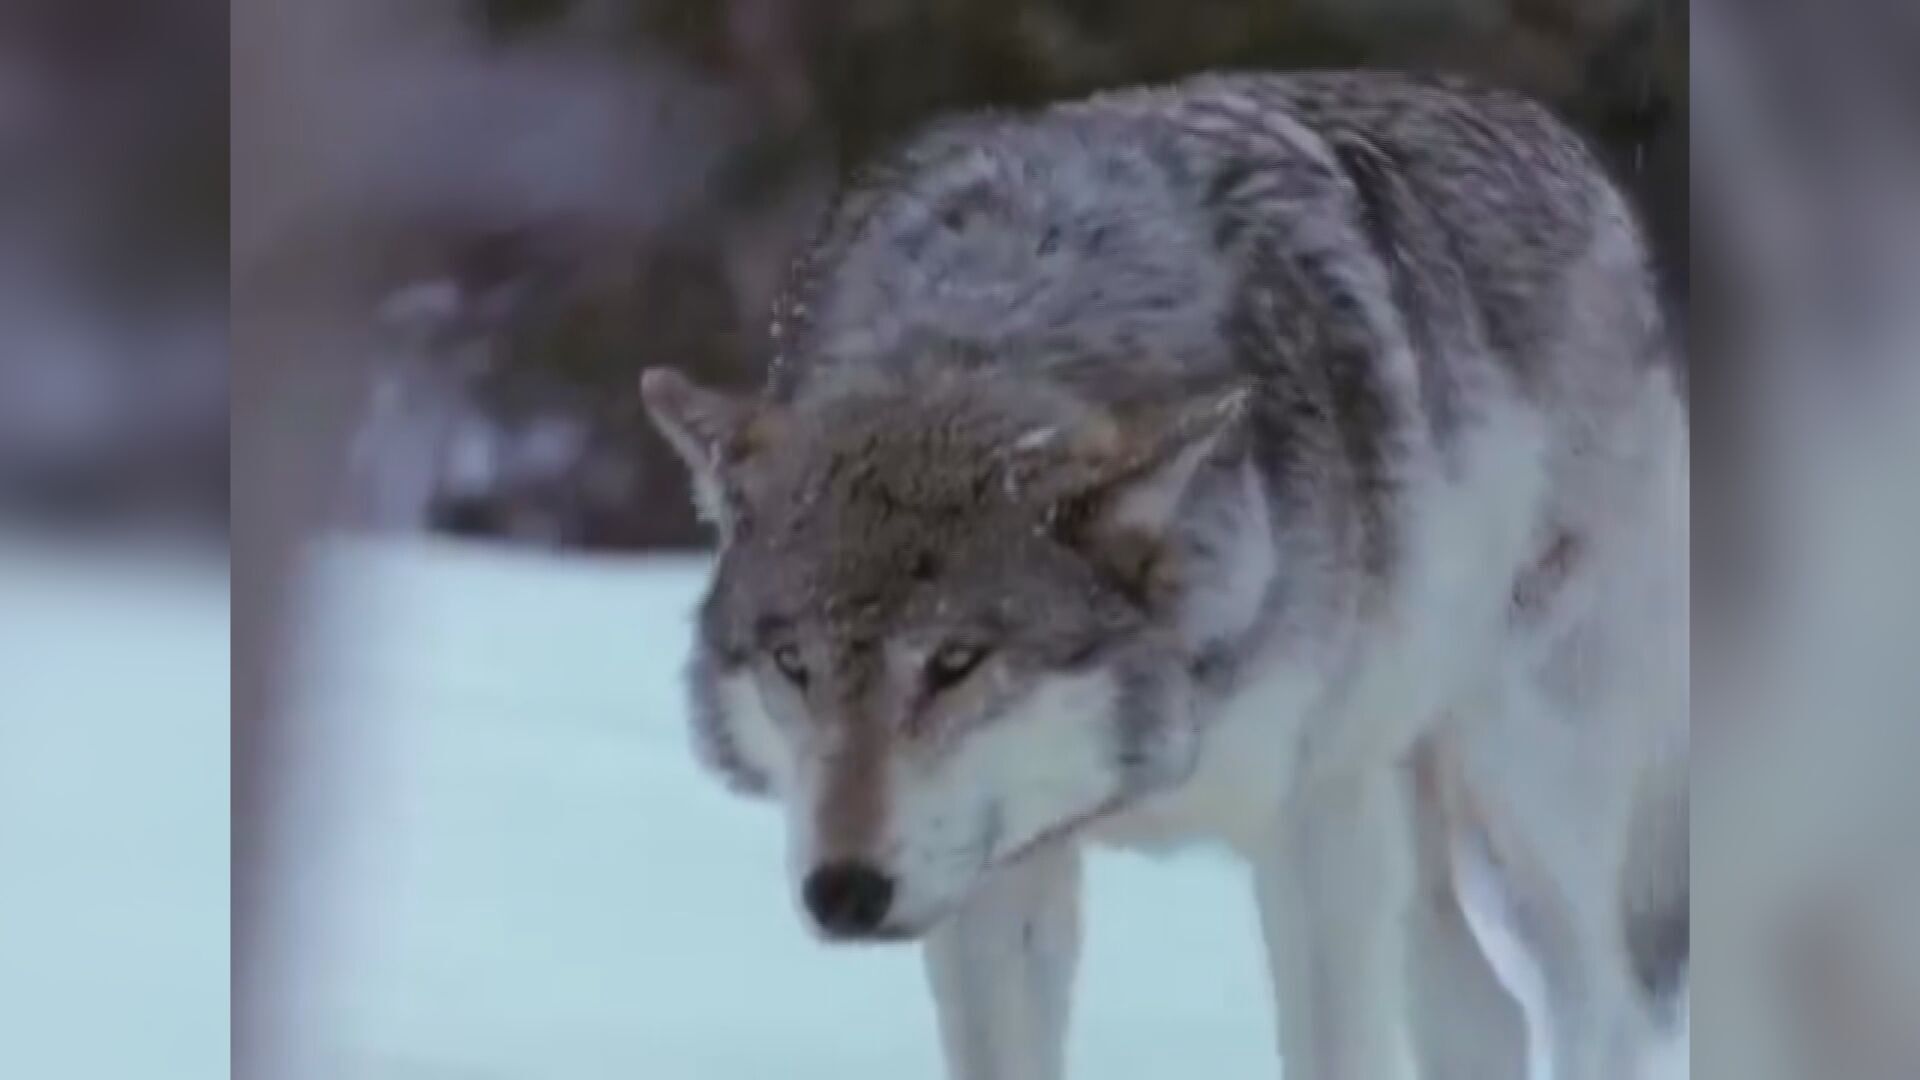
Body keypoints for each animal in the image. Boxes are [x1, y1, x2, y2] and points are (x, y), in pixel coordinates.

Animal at [641, 71, 1688, 1080]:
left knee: (1606, 1006)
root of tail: (1557, 142)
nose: (844, 892)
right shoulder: (995, 874)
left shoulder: (1321, 825)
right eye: (793, 664)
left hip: (1527, 783)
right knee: (1489, 1020)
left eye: (955, 662)